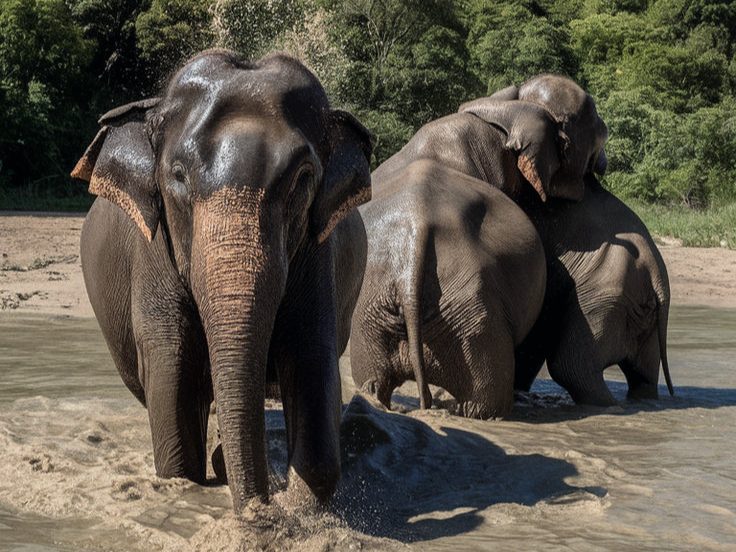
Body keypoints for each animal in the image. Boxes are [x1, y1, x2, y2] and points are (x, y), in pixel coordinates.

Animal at [72, 49, 373, 512]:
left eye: (304, 178)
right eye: (178, 175)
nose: (260, 513)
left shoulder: (318, 253)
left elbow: (310, 354)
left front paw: (299, 506)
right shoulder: (154, 252)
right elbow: (172, 376)